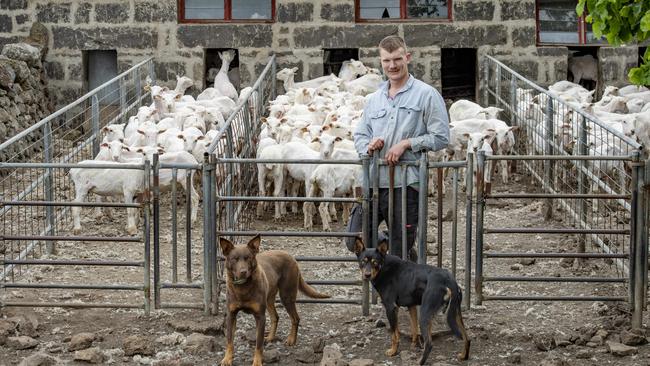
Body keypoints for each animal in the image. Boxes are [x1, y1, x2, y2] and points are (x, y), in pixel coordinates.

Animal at [219, 234, 330, 366]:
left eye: (248, 258)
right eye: (234, 259)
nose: (243, 272)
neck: (243, 287)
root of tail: (291, 257)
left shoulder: (260, 316)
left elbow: (259, 344)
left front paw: (257, 362)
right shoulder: (231, 315)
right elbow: (229, 340)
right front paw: (227, 359)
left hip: (286, 296)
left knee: (295, 318)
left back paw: (291, 340)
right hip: (269, 299)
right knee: (275, 317)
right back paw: (271, 337)